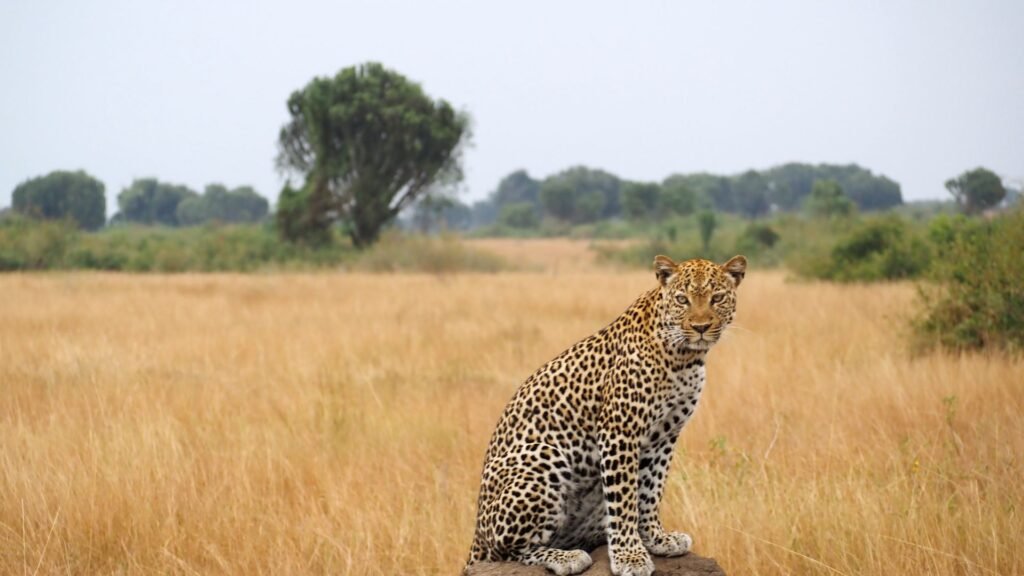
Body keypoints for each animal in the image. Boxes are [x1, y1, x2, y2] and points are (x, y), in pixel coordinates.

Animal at [465, 254, 747, 576]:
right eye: (682, 299)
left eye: (717, 298)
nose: (700, 327)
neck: (685, 358)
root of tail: (475, 533)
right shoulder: (620, 431)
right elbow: (624, 499)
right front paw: (630, 557)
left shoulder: (665, 436)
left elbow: (651, 491)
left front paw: (657, 539)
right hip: (542, 455)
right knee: (506, 549)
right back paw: (565, 558)